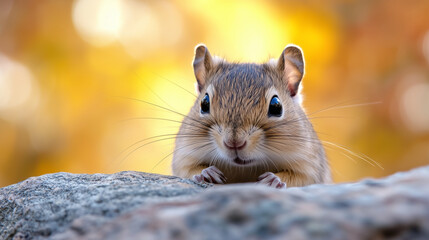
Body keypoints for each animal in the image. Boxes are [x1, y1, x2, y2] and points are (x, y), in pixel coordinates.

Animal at [171, 44, 332, 188]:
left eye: (276, 106)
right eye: (204, 103)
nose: (234, 143)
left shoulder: (310, 167)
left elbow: (298, 178)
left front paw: (273, 180)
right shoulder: (183, 157)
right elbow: (188, 170)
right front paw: (207, 172)